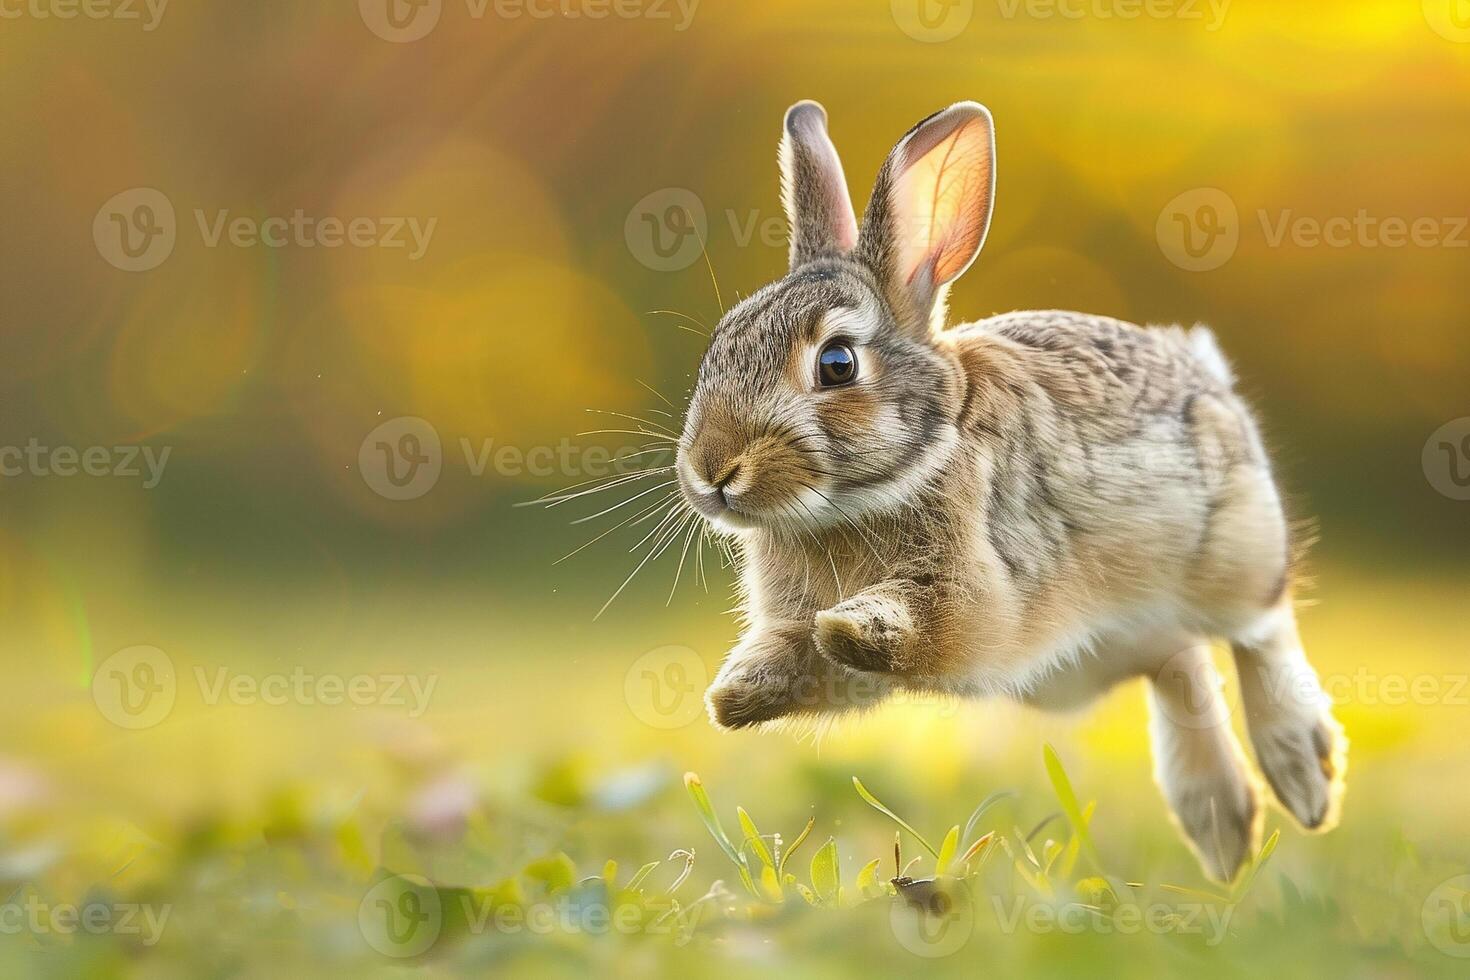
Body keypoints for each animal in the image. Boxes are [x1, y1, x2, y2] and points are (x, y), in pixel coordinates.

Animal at [673, 99, 1346, 881]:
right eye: (718, 346)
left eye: (837, 364)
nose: (711, 472)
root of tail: (1206, 374)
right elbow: (813, 662)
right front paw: (736, 693)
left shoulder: (978, 589)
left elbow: (914, 626)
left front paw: (854, 624)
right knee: (1179, 663)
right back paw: (1220, 824)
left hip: (1232, 552)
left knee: (1261, 628)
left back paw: (1301, 773)